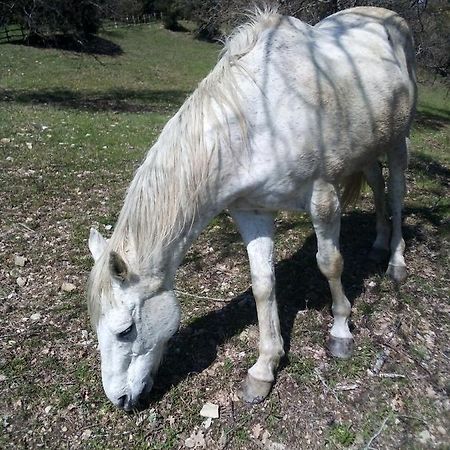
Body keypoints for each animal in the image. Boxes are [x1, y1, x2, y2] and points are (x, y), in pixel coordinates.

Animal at [86, 7, 416, 410]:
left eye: (125, 330)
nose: (119, 399)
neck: (260, 119)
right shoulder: (252, 212)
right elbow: (263, 286)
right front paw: (264, 368)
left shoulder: (323, 198)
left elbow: (330, 263)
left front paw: (340, 332)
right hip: (369, 148)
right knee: (378, 187)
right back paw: (379, 244)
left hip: (398, 141)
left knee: (396, 193)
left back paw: (396, 261)